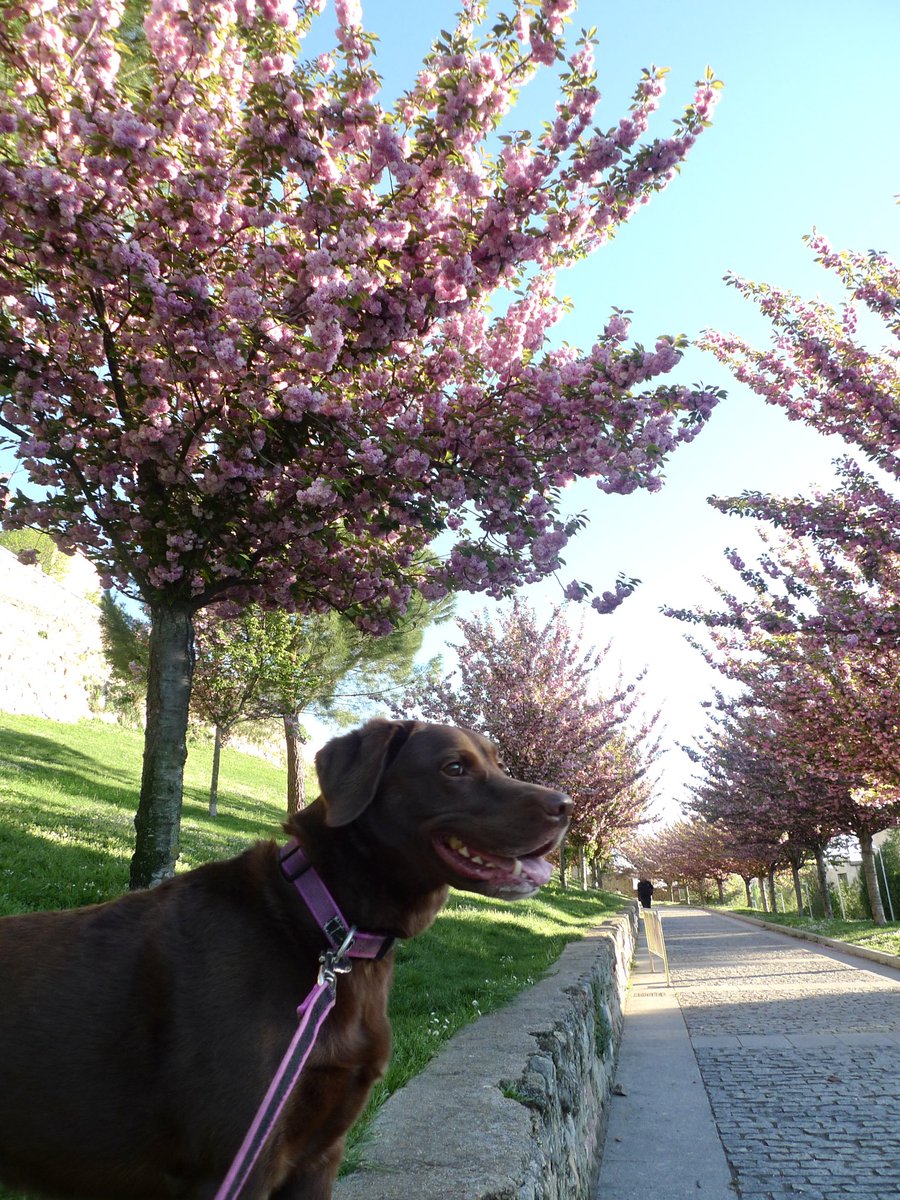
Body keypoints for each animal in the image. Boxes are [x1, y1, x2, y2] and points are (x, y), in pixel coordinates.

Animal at [0, 720, 571, 1200]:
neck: (327, 924)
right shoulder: (237, 1162)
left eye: (498, 762)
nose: (565, 804)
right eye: (454, 767)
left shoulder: (318, 1156)